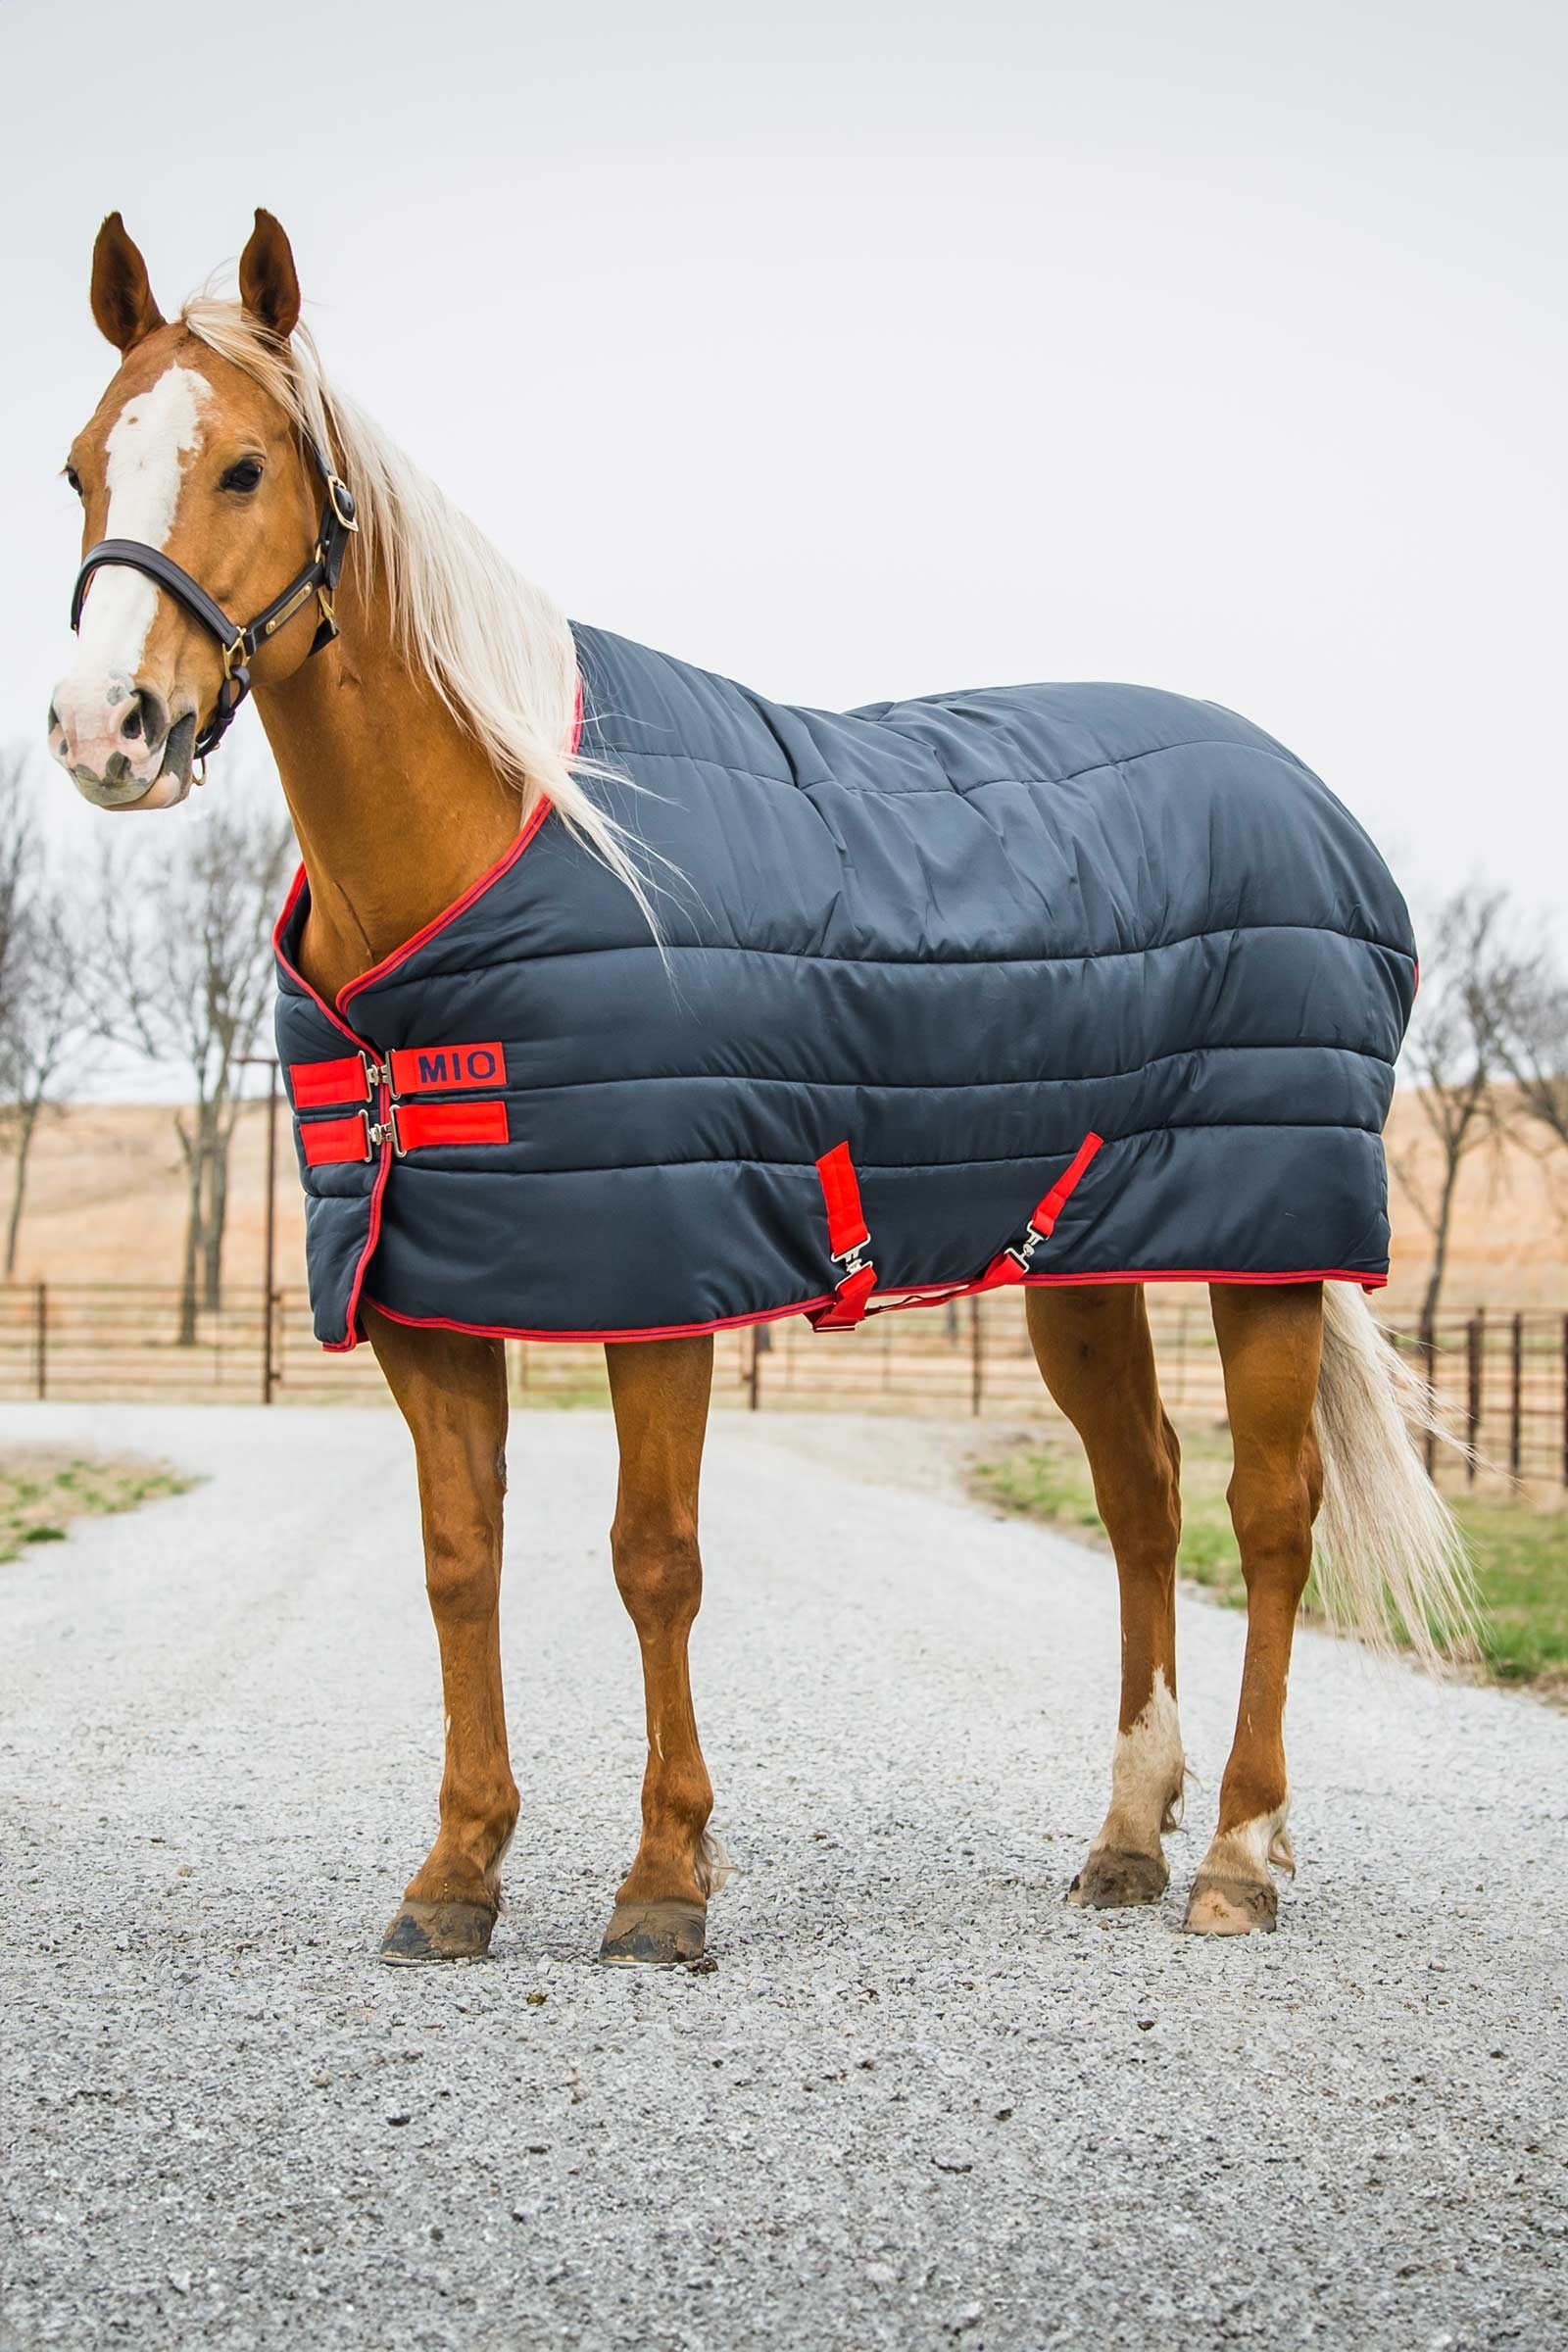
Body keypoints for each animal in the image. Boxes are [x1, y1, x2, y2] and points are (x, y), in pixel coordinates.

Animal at [47, 211, 1473, 1962]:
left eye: (245, 465)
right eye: (79, 468)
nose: (104, 729)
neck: (499, 849)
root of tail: (1308, 796)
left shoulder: (665, 1279)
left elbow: (654, 1561)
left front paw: (665, 1883)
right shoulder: (422, 1292)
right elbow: (461, 1560)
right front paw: (456, 1874)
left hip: (1270, 1244)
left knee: (1270, 1516)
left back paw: (1240, 1858)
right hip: (1086, 1253)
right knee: (1142, 1499)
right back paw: (1129, 1839)